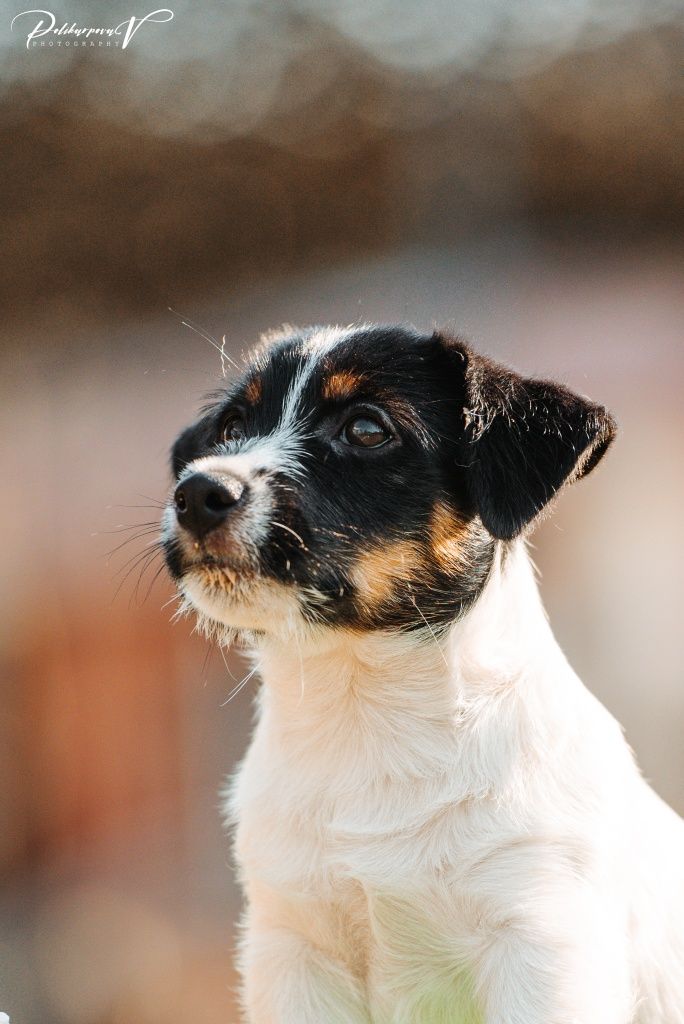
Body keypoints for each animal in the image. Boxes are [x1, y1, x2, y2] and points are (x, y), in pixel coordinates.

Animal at [163, 325, 684, 1024]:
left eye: (365, 429)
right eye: (232, 427)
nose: (197, 493)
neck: (366, 716)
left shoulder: (539, 942)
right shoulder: (296, 950)